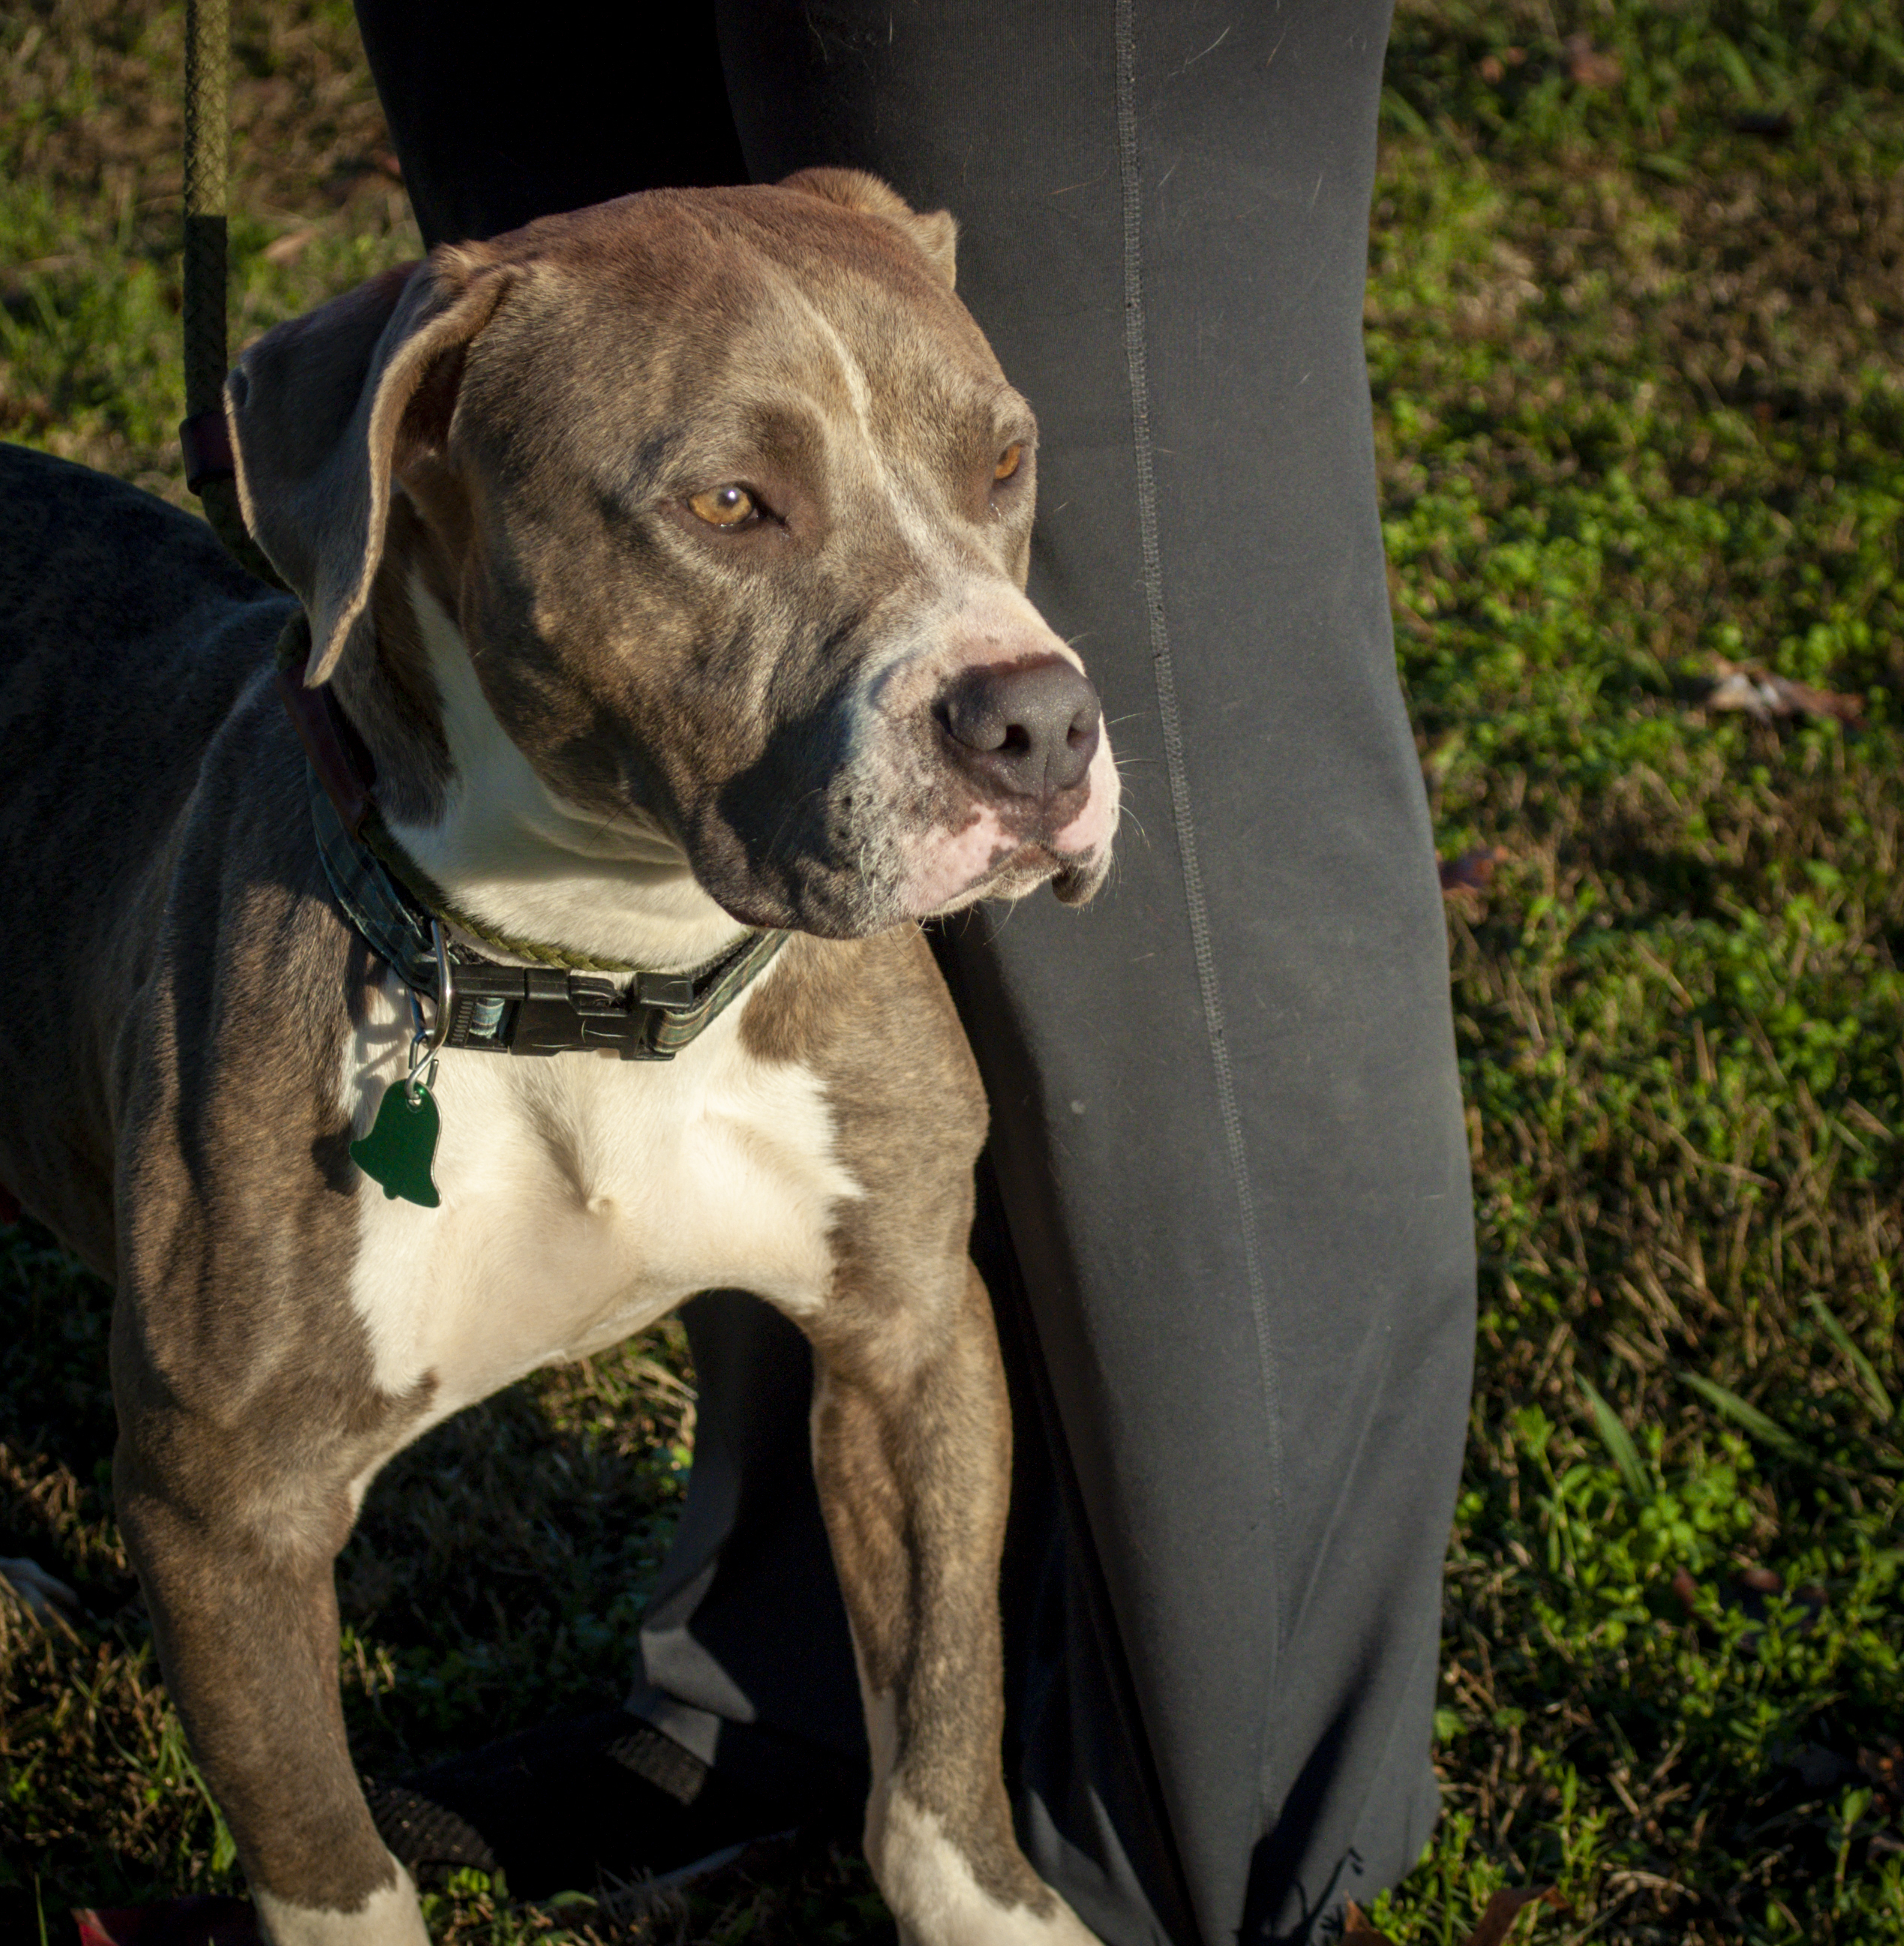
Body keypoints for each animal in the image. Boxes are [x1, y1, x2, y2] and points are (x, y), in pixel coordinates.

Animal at [0, 171, 1113, 1946]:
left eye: (1003, 461)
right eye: (728, 503)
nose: (1039, 727)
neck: (595, 971)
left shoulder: (912, 1329)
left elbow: (938, 1738)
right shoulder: (221, 1508)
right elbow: (335, 1867)